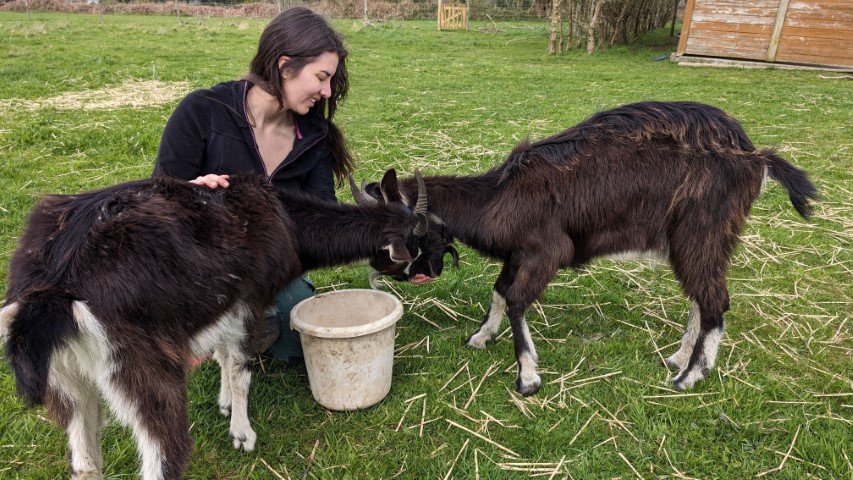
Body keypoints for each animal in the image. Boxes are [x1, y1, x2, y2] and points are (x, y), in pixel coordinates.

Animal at [0, 171, 426, 478]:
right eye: (420, 238)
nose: (428, 273)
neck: (284, 221)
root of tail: (53, 289)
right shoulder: (251, 301)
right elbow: (240, 367)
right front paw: (242, 434)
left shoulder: (226, 304)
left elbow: (223, 354)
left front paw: (224, 404)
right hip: (140, 366)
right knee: (164, 457)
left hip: (64, 378)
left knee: (85, 463)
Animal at [362, 101, 816, 398]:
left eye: (399, 241)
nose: (383, 275)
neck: (498, 197)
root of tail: (757, 158)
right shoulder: (519, 254)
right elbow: (499, 291)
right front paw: (480, 337)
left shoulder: (545, 251)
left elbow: (516, 300)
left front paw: (528, 377)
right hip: (696, 240)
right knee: (700, 299)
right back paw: (678, 358)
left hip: (702, 231)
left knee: (715, 301)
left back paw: (689, 377)